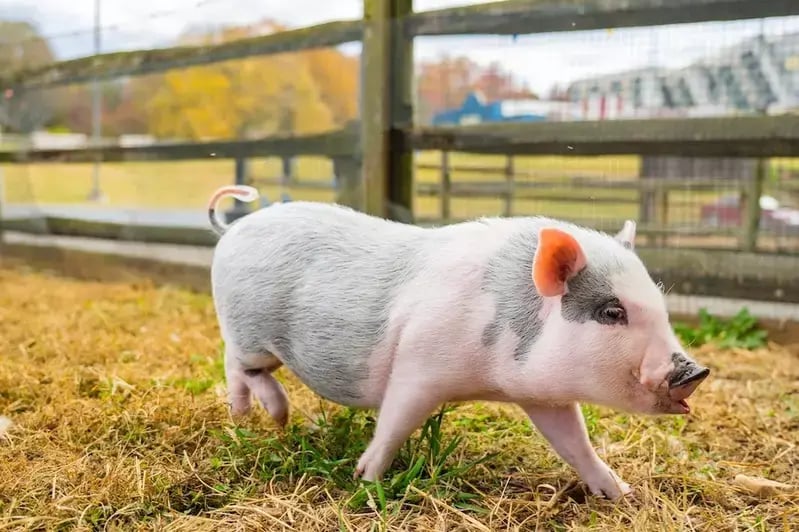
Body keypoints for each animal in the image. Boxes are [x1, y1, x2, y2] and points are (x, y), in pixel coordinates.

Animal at [206, 184, 710, 501]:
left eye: (659, 303)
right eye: (612, 312)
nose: (695, 370)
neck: (488, 379)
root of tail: (232, 229)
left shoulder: (543, 395)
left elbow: (575, 443)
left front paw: (622, 494)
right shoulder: (420, 366)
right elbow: (395, 421)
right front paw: (366, 480)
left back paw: (266, 418)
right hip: (246, 331)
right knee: (236, 364)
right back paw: (260, 416)